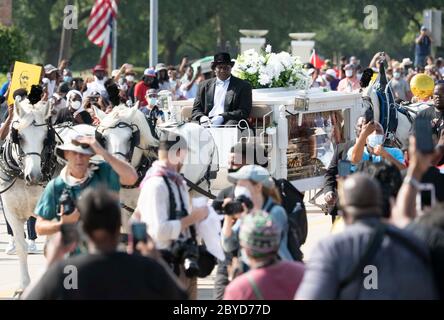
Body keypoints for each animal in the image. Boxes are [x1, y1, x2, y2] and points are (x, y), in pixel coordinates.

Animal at [0, 97, 52, 292]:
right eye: (19, 137)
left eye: (45, 138)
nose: (35, 176)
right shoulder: (10, 212)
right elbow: (21, 247)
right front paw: (23, 286)